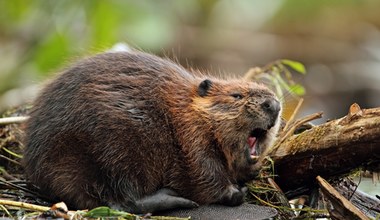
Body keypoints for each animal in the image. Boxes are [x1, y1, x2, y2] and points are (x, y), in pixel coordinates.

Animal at [23, 50, 280, 213]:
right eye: (236, 95)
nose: (274, 105)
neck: (187, 110)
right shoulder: (192, 138)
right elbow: (204, 172)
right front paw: (236, 192)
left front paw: (251, 173)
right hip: (114, 149)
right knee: (120, 200)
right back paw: (175, 198)